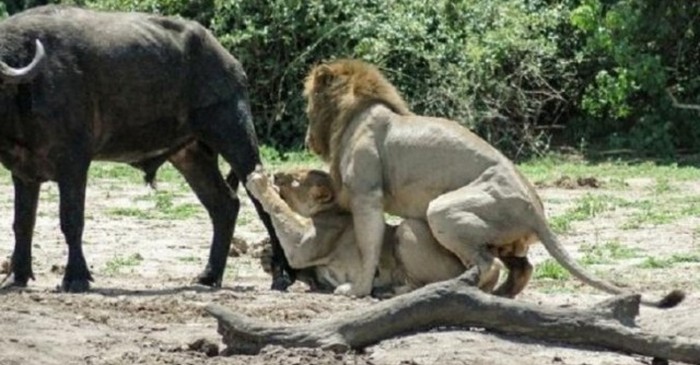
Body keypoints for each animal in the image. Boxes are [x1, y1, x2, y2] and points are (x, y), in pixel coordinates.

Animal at [0, 4, 296, 290]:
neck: (25, 90)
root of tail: (230, 63)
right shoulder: (24, 172)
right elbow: (22, 223)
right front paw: (17, 276)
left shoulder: (74, 163)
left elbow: (71, 220)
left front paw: (75, 278)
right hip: (191, 154)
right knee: (224, 204)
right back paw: (209, 275)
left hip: (234, 132)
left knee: (263, 200)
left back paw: (282, 275)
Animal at [246, 169, 532, 298]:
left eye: (294, 179)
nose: (276, 174)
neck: (332, 209)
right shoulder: (313, 267)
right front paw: (265, 255)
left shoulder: (305, 246)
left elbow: (280, 209)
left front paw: (259, 182)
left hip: (407, 230)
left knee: (426, 285)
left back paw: (385, 289)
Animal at [302, 57, 684, 308]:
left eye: (307, 106)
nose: (306, 139)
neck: (351, 114)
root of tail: (536, 211)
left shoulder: (367, 195)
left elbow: (367, 245)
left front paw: (356, 290)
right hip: (504, 237)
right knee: (522, 268)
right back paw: (498, 296)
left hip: (443, 208)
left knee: (488, 266)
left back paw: (448, 290)